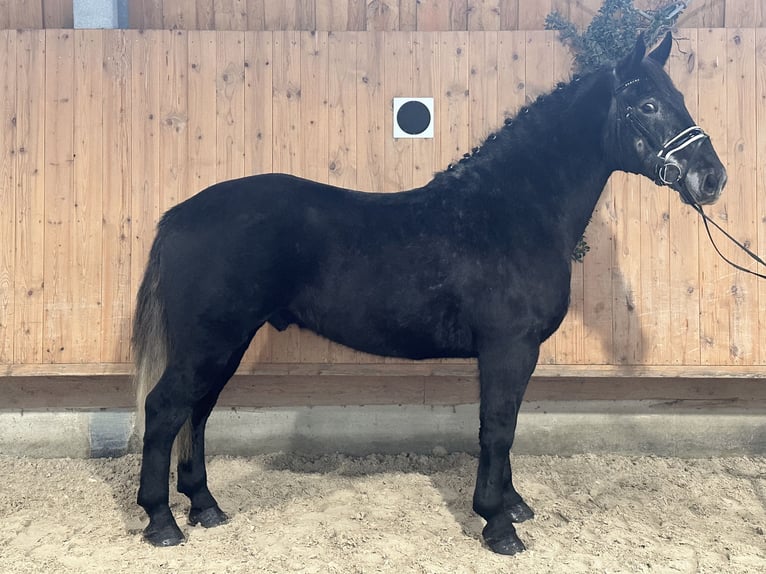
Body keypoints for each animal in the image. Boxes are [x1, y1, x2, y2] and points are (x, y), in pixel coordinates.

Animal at [135, 33, 728, 556]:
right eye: (648, 104)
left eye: (680, 98)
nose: (712, 178)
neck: (512, 210)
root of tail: (179, 215)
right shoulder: (508, 347)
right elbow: (498, 428)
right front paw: (498, 525)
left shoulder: (515, 352)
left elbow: (507, 425)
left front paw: (513, 505)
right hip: (209, 343)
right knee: (165, 410)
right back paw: (162, 521)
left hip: (224, 345)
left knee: (198, 412)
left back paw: (206, 506)